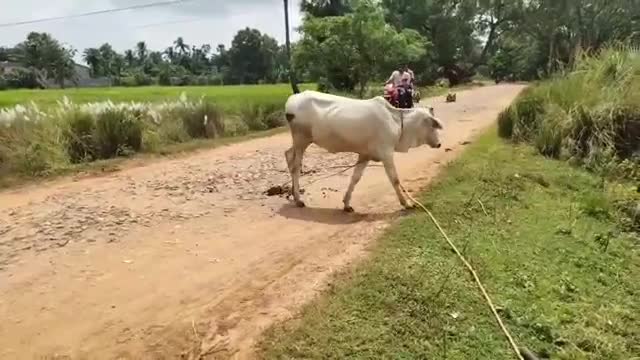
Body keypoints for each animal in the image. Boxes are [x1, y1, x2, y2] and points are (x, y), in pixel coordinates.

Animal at [282, 90, 442, 212]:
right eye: (432, 125)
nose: (439, 144)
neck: (398, 122)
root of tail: (293, 98)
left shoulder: (365, 155)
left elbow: (355, 178)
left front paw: (346, 204)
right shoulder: (386, 153)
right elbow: (395, 179)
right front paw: (407, 203)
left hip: (300, 142)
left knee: (288, 155)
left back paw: (293, 195)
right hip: (301, 140)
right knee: (295, 167)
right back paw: (298, 200)